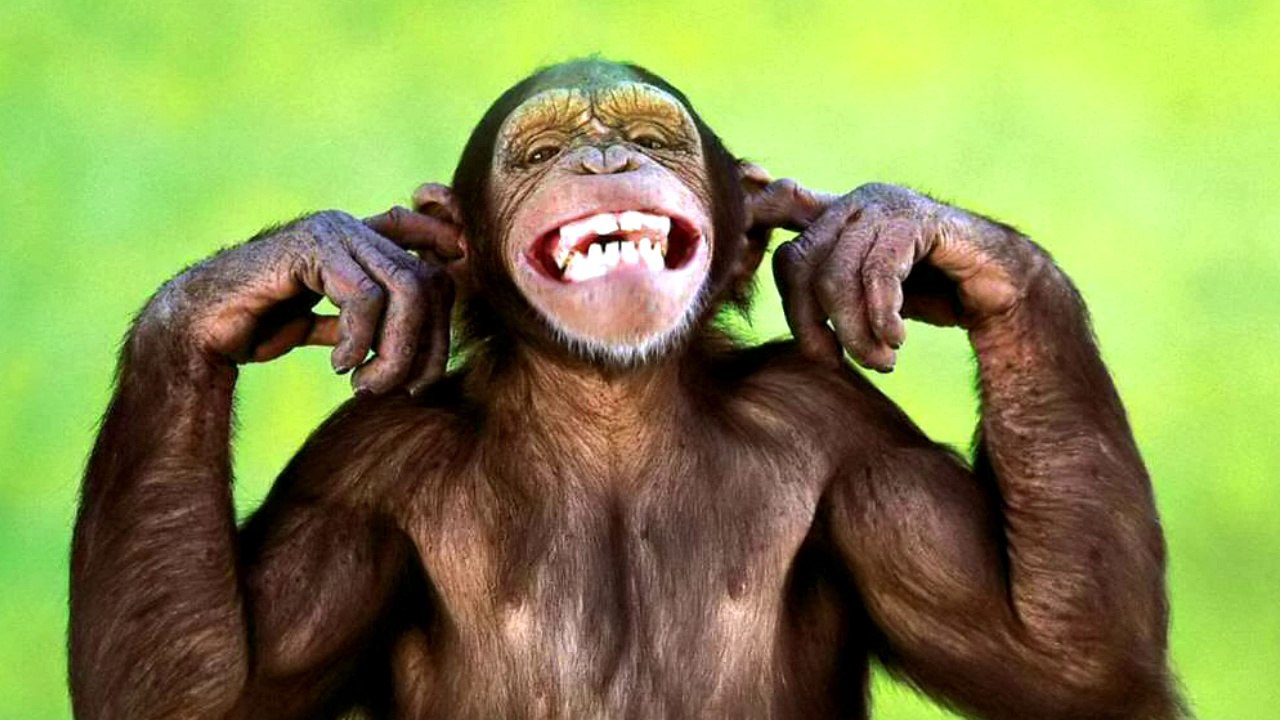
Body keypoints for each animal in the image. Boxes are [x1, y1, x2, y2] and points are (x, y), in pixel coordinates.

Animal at [70, 58, 1181, 719]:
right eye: (540, 151)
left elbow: (1065, 665)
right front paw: (274, 272)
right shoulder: (360, 467)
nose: (603, 159)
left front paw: (904, 230)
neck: (607, 407)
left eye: (650, 141)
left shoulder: (837, 425)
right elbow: (198, 697)